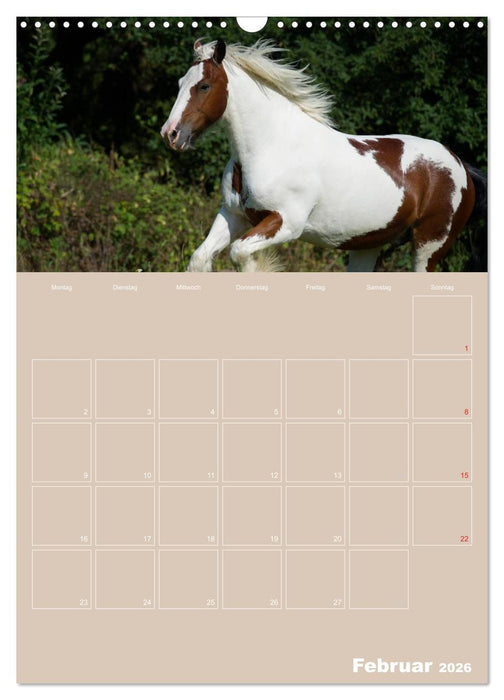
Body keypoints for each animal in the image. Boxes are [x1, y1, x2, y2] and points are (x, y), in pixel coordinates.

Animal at [161, 39, 487, 272]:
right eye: (178, 84)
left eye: (204, 86)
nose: (171, 134)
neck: (272, 146)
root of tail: (461, 166)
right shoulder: (233, 215)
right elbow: (200, 259)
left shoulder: (286, 223)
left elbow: (241, 254)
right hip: (367, 245)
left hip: (429, 246)